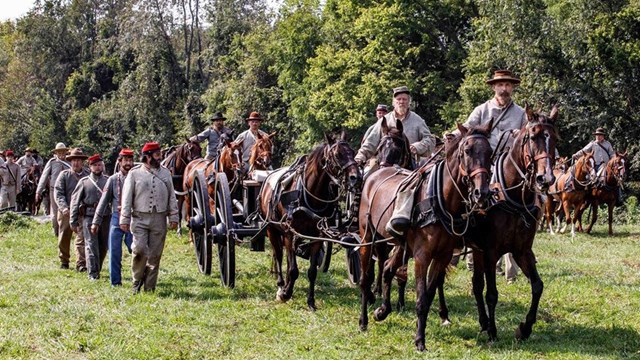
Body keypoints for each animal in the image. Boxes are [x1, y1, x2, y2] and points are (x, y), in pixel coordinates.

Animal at [258, 131, 360, 310]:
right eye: (337, 154)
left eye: (353, 152)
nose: (356, 177)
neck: (310, 196)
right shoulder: (289, 233)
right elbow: (293, 269)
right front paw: (285, 293)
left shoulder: (317, 235)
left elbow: (311, 271)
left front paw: (311, 301)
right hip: (272, 229)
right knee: (278, 255)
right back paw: (281, 285)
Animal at [358, 121, 492, 352]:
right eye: (467, 151)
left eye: (490, 152)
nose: (481, 193)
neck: (442, 200)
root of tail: (375, 175)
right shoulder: (422, 256)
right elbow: (421, 298)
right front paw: (419, 340)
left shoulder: (442, 256)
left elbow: (428, 295)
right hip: (368, 237)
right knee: (366, 278)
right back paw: (364, 320)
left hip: (401, 245)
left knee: (387, 269)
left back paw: (383, 311)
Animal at [464, 105, 560, 344]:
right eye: (533, 137)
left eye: (554, 138)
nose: (546, 178)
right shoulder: (490, 252)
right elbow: (492, 294)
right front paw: (493, 331)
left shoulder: (522, 251)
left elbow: (537, 286)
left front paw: (524, 328)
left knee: (476, 284)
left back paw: (483, 322)